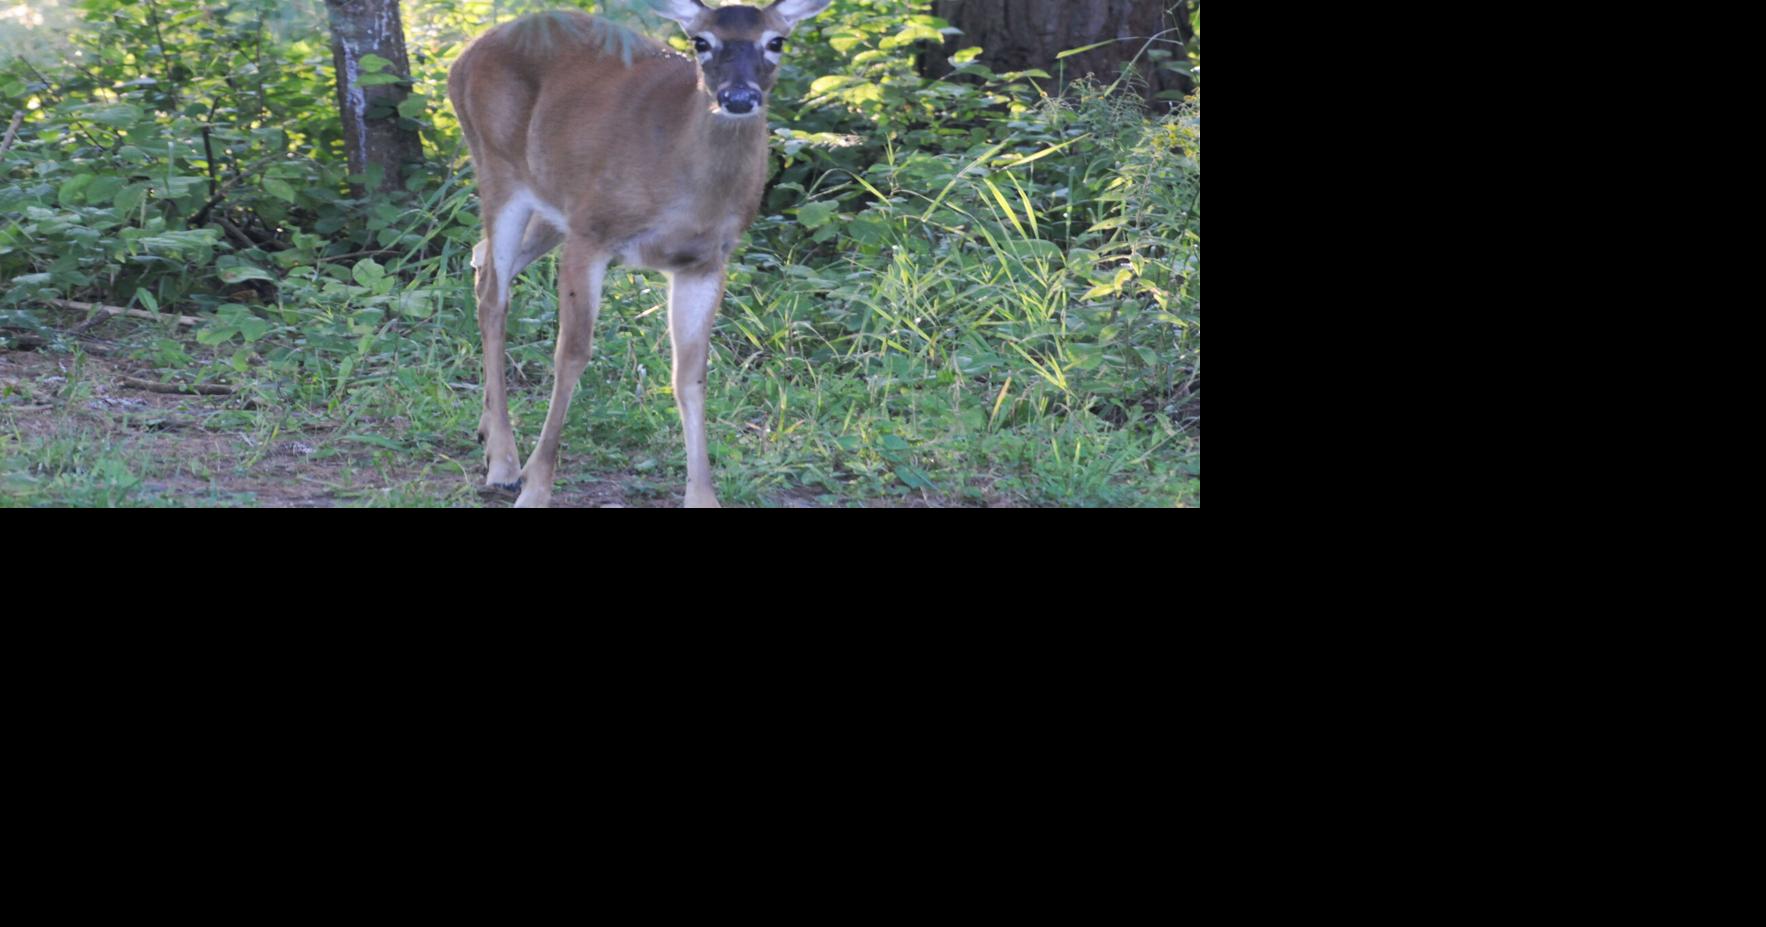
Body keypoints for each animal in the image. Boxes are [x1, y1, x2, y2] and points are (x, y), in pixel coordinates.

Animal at [446, 0, 833, 507]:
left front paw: (703, 496)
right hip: (499, 168)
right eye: (701, 41)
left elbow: (690, 374)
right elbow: (571, 355)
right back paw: (506, 463)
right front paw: (536, 486)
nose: (738, 97)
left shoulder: (706, 262)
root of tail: (464, 55)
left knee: (481, 260)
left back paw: (488, 434)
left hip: (549, 206)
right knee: (495, 294)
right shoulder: (590, 233)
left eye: (776, 41)